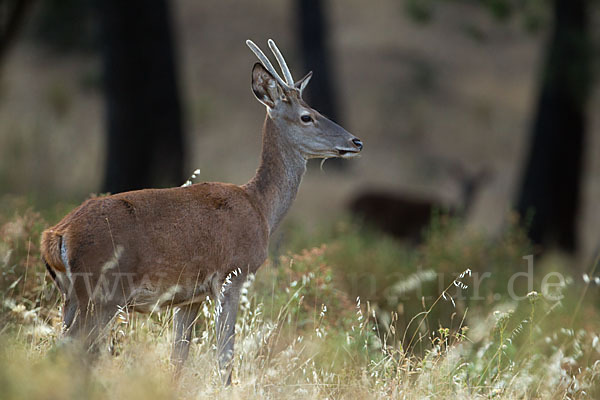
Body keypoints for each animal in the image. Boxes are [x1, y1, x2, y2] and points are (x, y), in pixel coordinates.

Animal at [42, 39, 364, 384]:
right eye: (307, 116)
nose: (356, 142)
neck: (260, 209)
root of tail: (57, 235)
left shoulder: (189, 298)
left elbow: (178, 359)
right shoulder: (232, 276)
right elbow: (224, 356)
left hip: (71, 296)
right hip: (102, 292)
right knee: (73, 351)